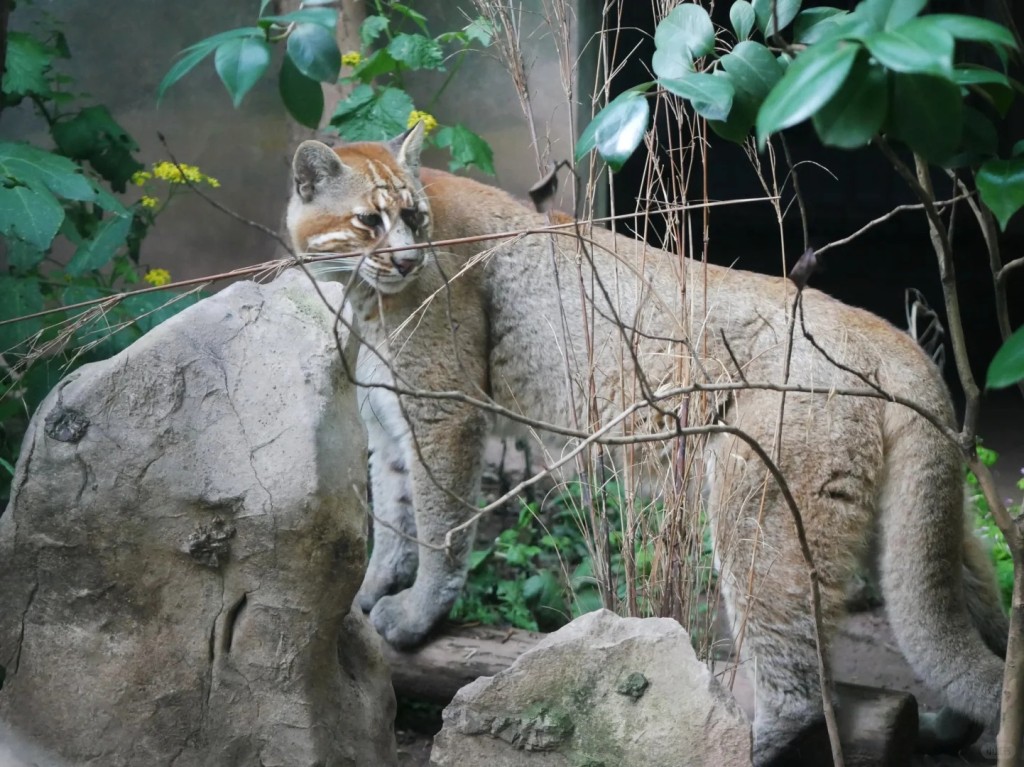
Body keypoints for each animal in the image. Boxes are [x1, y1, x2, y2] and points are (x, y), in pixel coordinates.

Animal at [284, 122, 1003, 761]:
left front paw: (414, 617)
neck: (356, 296)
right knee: (970, 613)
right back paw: (948, 724)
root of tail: (890, 335)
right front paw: (369, 591)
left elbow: (439, 525)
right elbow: (392, 515)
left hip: (761, 512)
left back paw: (730, 742)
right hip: (912, 519)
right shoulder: (387, 421)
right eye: (369, 221)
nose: (406, 258)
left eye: (413, 215)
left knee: (798, 686)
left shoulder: (440, 411)